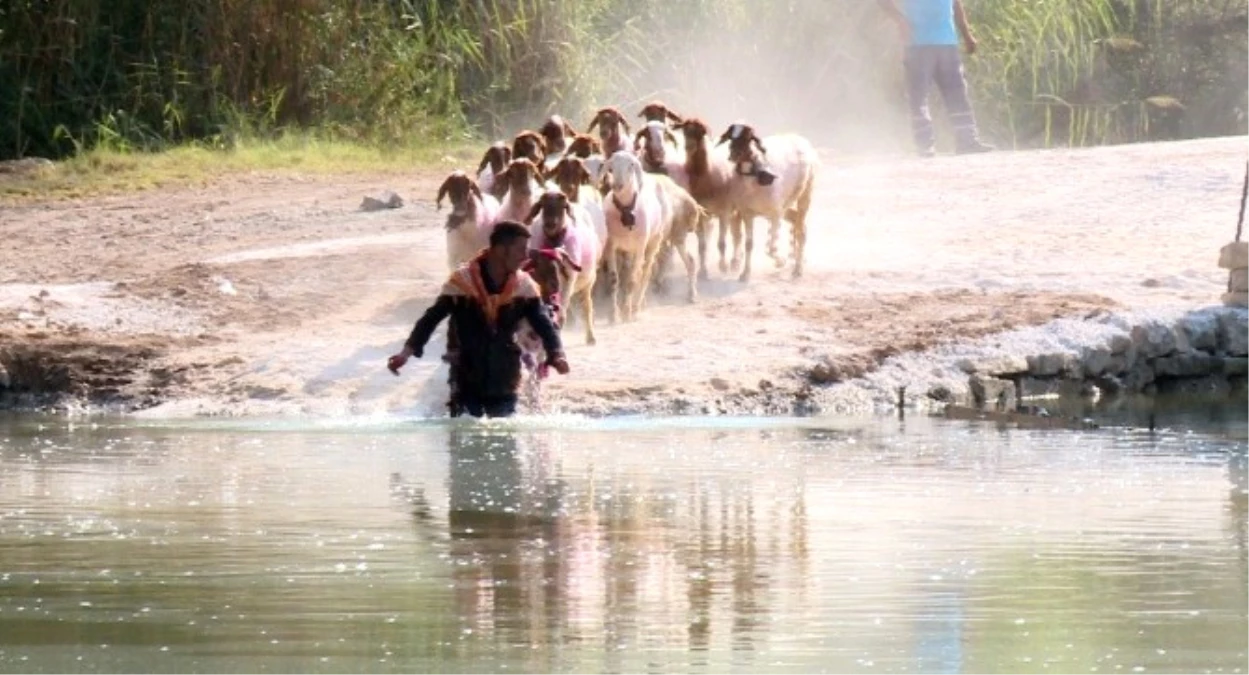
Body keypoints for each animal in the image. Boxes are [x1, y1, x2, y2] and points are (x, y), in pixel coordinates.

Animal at [714, 122, 819, 281]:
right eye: (731, 136)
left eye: (749, 137)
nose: (733, 155)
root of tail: (800, 139)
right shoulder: (747, 213)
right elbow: (749, 244)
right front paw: (745, 274)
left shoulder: (775, 213)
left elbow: (771, 247)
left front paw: (780, 261)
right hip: (785, 205)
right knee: (797, 222)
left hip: (805, 194)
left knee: (800, 231)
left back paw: (797, 270)